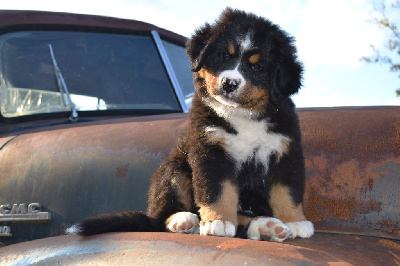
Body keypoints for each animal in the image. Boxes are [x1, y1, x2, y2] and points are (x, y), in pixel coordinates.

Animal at [68, 7, 312, 242]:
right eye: (223, 55)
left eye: (258, 67)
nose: (229, 83)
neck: (243, 115)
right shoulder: (211, 151)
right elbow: (218, 190)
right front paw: (219, 221)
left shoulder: (285, 152)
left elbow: (287, 192)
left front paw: (295, 222)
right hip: (173, 171)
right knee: (164, 216)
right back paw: (185, 220)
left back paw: (266, 227)